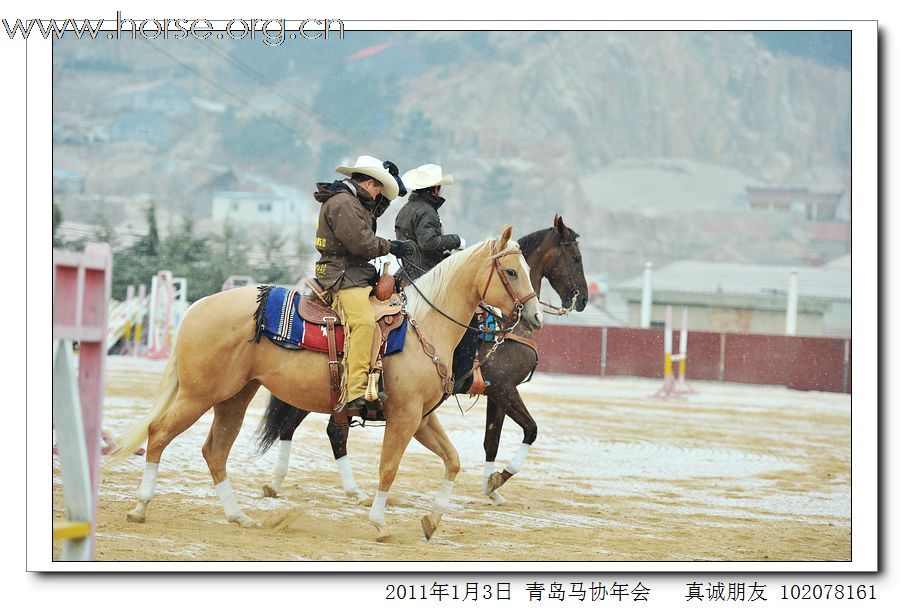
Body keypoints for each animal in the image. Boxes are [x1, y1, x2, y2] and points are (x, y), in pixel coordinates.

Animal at [108, 228, 540, 540]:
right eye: (511, 272)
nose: (535, 316)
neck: (425, 327)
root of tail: (197, 306)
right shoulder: (404, 416)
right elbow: (388, 468)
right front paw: (379, 523)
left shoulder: (421, 418)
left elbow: (452, 460)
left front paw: (432, 521)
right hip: (200, 394)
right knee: (159, 433)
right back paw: (140, 507)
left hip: (234, 397)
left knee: (215, 451)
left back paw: (239, 516)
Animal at [258, 216, 588, 506]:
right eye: (575, 257)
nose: (582, 299)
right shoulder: (503, 387)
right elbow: (531, 429)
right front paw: (499, 479)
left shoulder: (495, 393)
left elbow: (491, 440)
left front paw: (491, 487)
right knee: (318, 430)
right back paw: (336, 488)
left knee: (301, 427)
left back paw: (284, 484)